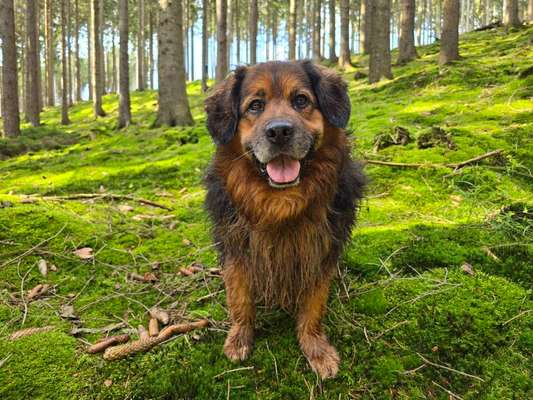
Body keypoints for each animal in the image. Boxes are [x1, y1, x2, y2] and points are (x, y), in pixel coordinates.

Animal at [202, 61, 364, 380]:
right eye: (255, 105)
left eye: (301, 100)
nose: (279, 131)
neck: (281, 202)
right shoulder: (237, 249)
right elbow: (239, 297)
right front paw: (239, 338)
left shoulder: (320, 251)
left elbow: (314, 305)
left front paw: (316, 348)